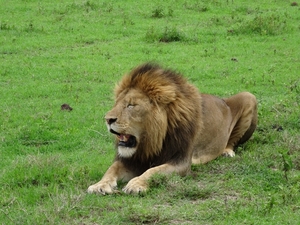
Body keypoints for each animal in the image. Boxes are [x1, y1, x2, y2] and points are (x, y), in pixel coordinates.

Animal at [87, 62, 258, 195]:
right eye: (117, 104)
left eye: (131, 105)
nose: (108, 119)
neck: (152, 142)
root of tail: (222, 99)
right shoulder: (131, 160)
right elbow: (111, 169)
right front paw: (99, 185)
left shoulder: (181, 162)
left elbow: (154, 171)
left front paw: (136, 184)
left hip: (249, 97)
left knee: (232, 140)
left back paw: (227, 151)